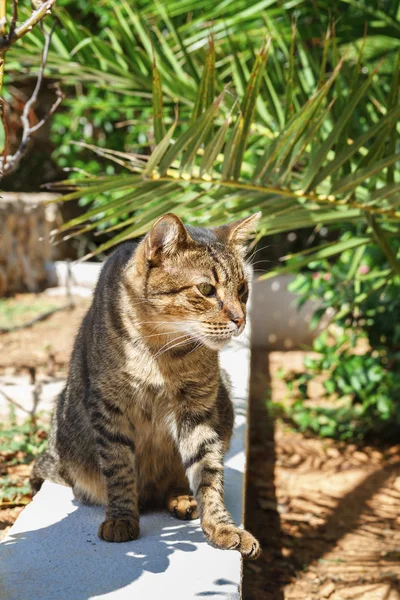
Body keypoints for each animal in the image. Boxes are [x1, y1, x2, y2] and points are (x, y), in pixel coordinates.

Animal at [32, 211, 262, 556]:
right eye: (206, 289)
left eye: (243, 289)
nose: (241, 319)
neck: (162, 351)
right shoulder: (109, 407)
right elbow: (119, 468)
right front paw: (121, 518)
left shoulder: (197, 407)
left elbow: (208, 470)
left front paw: (222, 525)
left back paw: (182, 499)